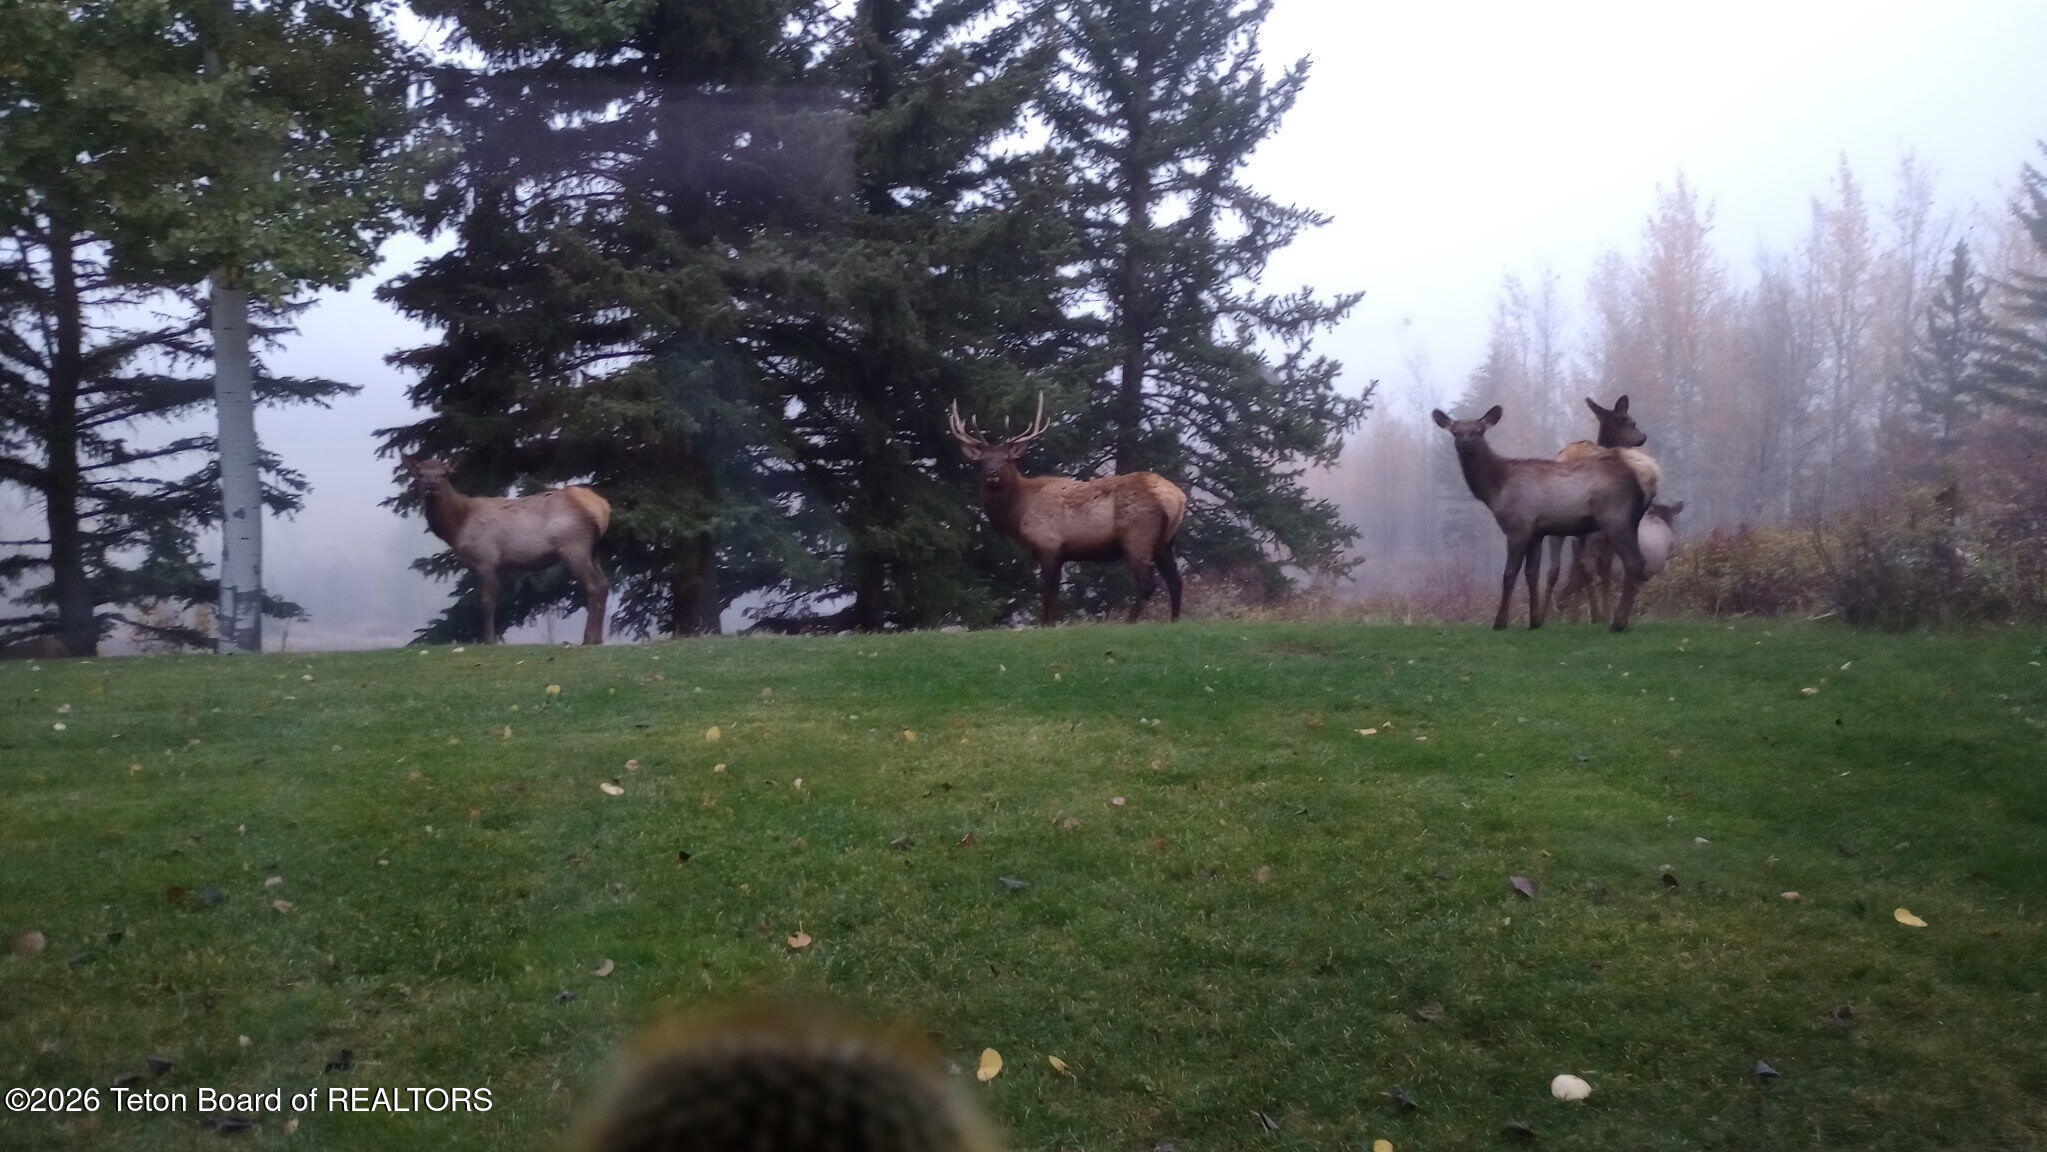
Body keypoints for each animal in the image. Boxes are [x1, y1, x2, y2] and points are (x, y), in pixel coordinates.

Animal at [399, 455, 613, 645]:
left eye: (444, 474)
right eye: (420, 474)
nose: (431, 485)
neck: (457, 527)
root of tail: (602, 507)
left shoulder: (486, 558)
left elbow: (487, 601)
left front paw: (489, 640)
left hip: (574, 546)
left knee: (593, 585)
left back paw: (588, 639)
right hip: (594, 550)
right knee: (604, 583)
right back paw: (598, 639)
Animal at [948, 394, 1188, 626]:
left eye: (1007, 459)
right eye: (982, 460)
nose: (992, 473)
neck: (1018, 512)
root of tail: (1177, 497)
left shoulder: (1048, 543)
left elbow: (1049, 591)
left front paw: (1047, 625)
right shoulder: (1060, 552)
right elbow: (1054, 593)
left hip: (1138, 535)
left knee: (1148, 583)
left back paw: (1130, 622)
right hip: (1165, 541)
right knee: (1176, 582)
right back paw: (1174, 621)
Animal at [1431, 404, 1660, 632]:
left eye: (1479, 431)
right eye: (1456, 432)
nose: (1465, 444)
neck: (1495, 490)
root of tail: (1651, 473)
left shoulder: (1518, 527)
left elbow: (1509, 574)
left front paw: (1500, 622)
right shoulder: (1536, 533)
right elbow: (1532, 574)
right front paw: (1535, 621)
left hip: (1615, 518)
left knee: (1633, 561)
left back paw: (1618, 622)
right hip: (1632, 521)